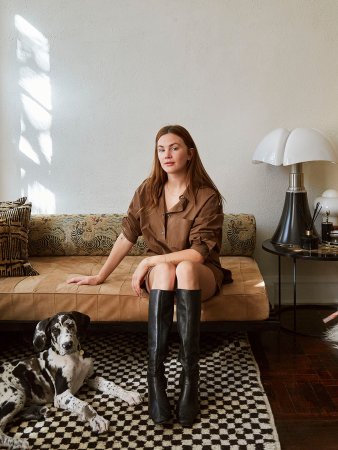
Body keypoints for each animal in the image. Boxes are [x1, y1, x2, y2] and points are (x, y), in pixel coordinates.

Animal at [0, 312, 143, 450]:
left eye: (70, 325)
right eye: (55, 330)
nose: (67, 345)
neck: (74, 358)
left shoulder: (91, 377)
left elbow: (111, 385)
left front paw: (129, 394)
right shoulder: (61, 395)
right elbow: (84, 405)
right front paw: (97, 419)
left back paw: (40, 412)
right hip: (16, 394)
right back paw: (18, 442)